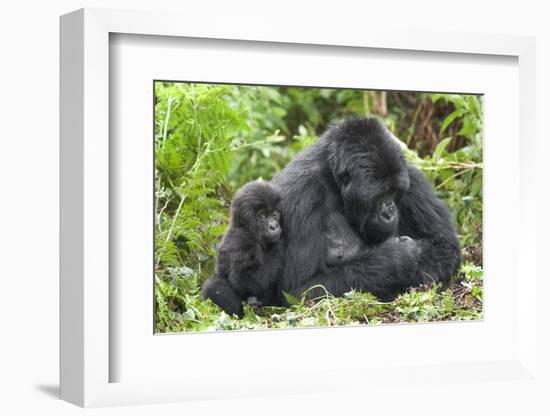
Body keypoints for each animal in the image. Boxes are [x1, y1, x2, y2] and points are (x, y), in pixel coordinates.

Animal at [202, 180, 284, 318]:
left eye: (274, 214)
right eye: (263, 216)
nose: (274, 226)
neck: (244, 226)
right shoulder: (243, 241)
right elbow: (245, 281)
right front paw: (278, 246)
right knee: (214, 285)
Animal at [274, 117, 464, 302]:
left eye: (394, 192)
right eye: (380, 195)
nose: (390, 209)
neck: (334, 181)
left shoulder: (410, 174)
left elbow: (445, 246)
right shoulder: (303, 194)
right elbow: (302, 289)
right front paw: (398, 258)